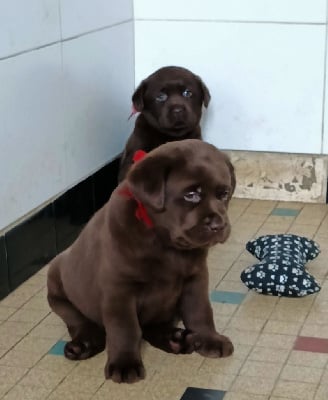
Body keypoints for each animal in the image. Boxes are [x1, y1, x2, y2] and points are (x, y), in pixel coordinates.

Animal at [46, 139, 236, 382]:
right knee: (81, 323)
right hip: (57, 289)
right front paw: (124, 363)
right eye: (191, 194)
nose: (219, 226)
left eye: (224, 194)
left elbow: (200, 311)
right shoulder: (119, 289)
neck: (163, 241)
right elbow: (125, 328)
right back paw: (83, 345)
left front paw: (210, 338)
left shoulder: (196, 277)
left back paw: (175, 339)